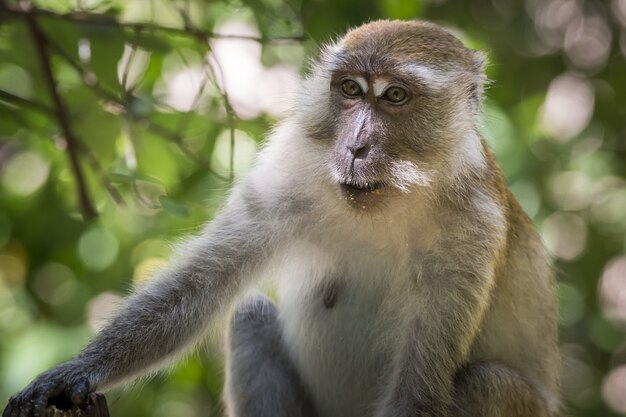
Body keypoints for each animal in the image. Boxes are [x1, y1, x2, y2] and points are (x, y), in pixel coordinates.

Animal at [2, 21, 560, 416]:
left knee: (486, 383)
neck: (396, 194)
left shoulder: (474, 226)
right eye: (350, 90)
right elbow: (201, 284)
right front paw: (76, 371)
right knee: (249, 314)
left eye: (395, 96)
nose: (355, 147)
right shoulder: (290, 165)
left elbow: (419, 390)